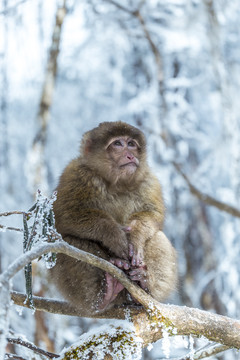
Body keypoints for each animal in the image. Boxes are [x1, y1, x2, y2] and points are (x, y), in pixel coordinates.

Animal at [50, 121, 177, 316]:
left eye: (131, 144)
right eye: (117, 144)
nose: (130, 155)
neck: (118, 184)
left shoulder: (149, 181)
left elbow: (152, 216)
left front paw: (136, 236)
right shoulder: (75, 175)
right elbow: (66, 215)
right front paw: (114, 235)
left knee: (158, 237)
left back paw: (144, 283)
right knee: (68, 242)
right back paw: (104, 294)